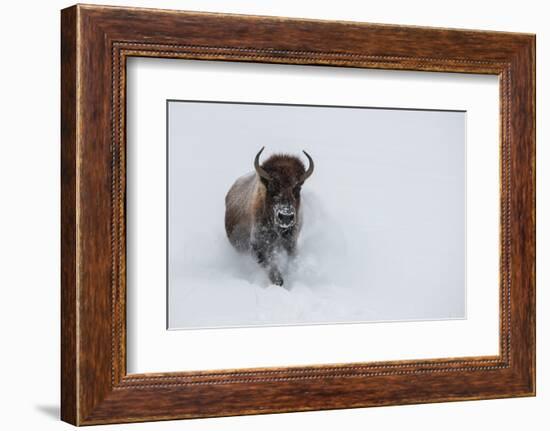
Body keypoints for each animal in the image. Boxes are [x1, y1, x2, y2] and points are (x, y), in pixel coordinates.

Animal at [224, 148, 314, 286]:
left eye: (297, 187)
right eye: (272, 186)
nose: (286, 216)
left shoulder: (291, 243)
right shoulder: (258, 247)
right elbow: (272, 269)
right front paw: (279, 282)